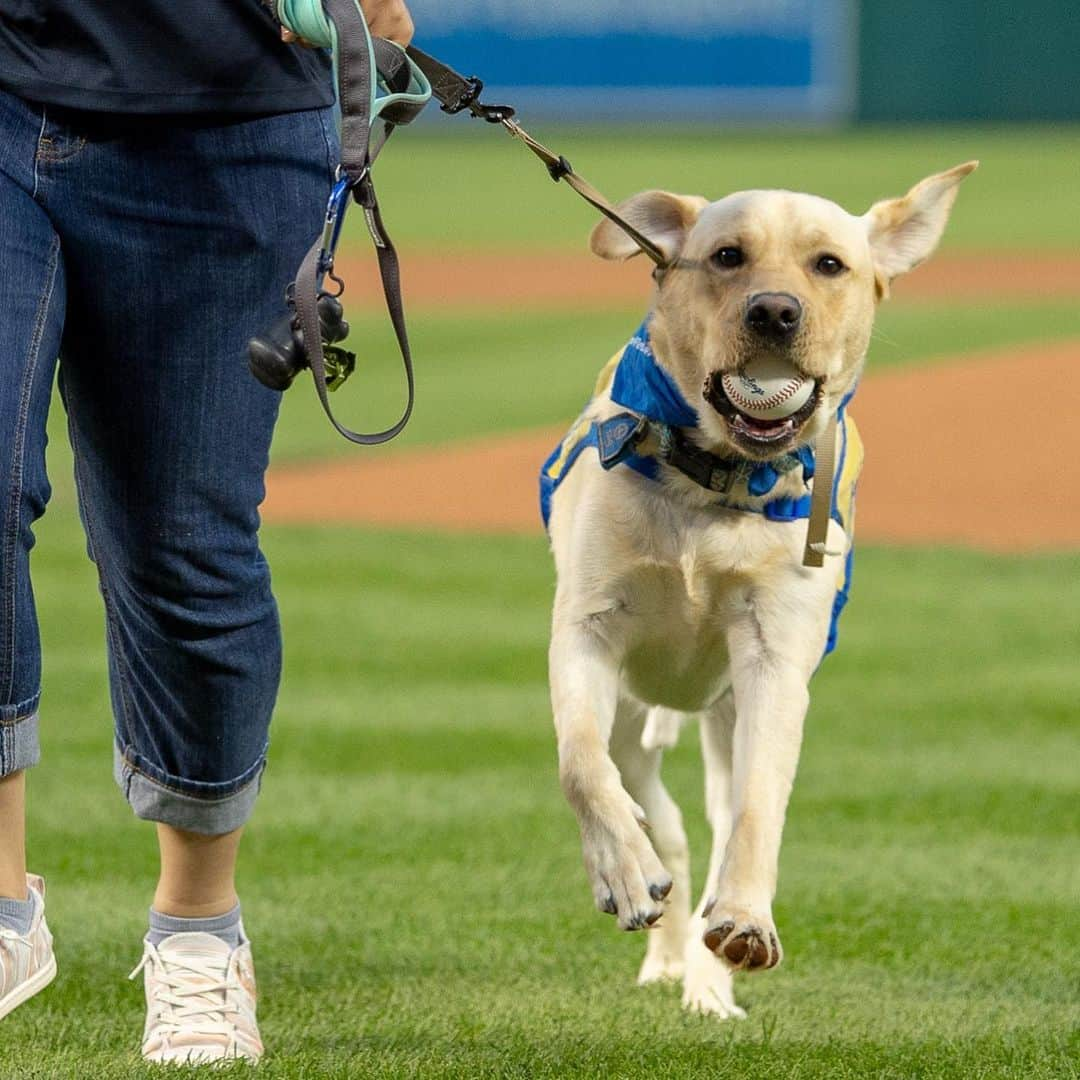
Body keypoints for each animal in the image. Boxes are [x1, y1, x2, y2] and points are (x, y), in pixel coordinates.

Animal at [544, 162, 976, 1019]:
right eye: (726, 256)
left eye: (829, 265)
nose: (774, 311)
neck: (717, 482)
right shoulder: (587, 627)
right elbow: (579, 763)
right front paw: (622, 870)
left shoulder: (774, 659)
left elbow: (757, 807)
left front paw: (743, 920)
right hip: (635, 719)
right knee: (662, 819)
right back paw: (665, 946)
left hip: (721, 714)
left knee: (714, 823)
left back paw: (709, 986)